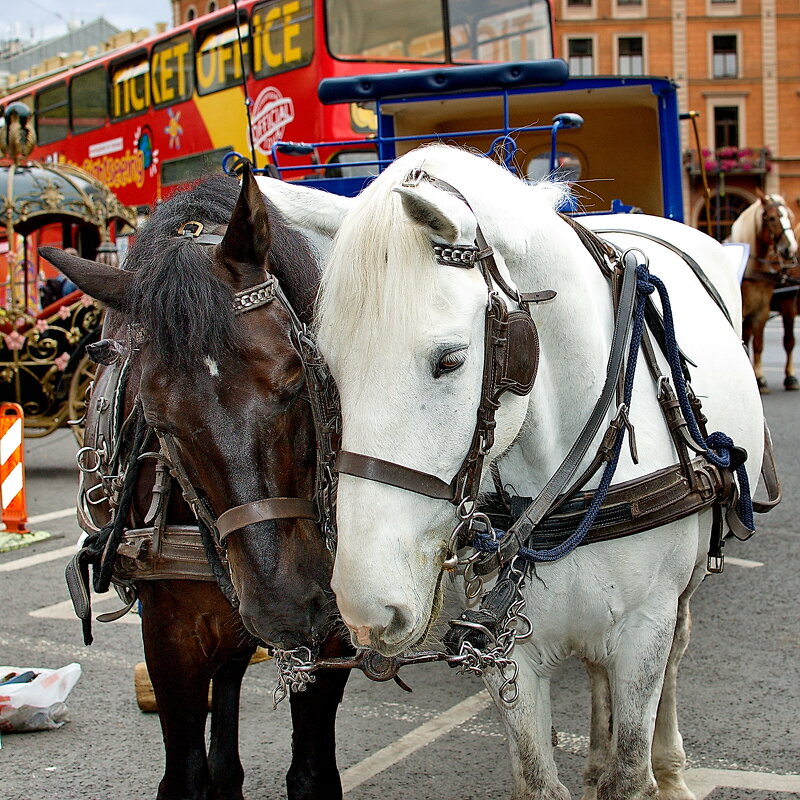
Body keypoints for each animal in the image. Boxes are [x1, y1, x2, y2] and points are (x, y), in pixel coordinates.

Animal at [43, 170, 350, 800]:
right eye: (159, 419)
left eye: (295, 377)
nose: (285, 606)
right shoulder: (172, 634)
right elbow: (183, 773)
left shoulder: (334, 628)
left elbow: (311, 774)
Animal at [260, 145, 764, 800]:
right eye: (327, 368)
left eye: (450, 360)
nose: (368, 606)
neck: (560, 490)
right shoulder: (510, 656)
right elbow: (537, 777)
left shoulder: (643, 632)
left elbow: (632, 771)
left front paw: (644, 768)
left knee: (676, 654)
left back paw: (673, 768)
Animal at [736, 194, 796, 394]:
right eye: (771, 218)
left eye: (788, 216)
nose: (790, 248)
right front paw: (761, 379)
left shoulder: (762, 311)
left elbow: (760, 344)